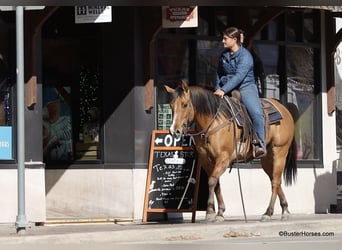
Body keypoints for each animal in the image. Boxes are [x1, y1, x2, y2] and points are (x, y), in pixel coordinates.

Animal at [165, 81, 296, 222]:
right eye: (171, 105)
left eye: (184, 104)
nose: (174, 131)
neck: (214, 121)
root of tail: (285, 110)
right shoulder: (206, 160)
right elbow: (216, 183)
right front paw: (219, 212)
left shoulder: (224, 158)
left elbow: (212, 180)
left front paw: (210, 212)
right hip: (267, 158)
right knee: (275, 180)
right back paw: (285, 210)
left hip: (279, 152)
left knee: (275, 181)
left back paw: (268, 213)